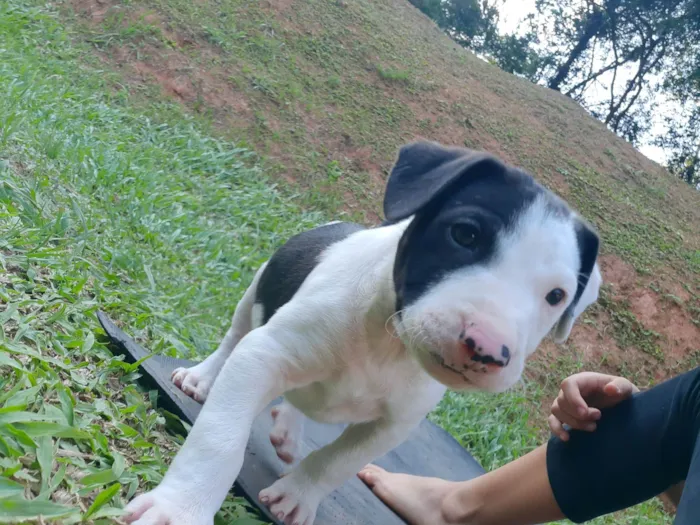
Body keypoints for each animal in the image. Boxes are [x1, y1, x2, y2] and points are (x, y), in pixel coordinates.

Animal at [124, 140, 600, 524]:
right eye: (465, 234)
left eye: (556, 296)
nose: (486, 348)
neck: (390, 342)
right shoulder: (263, 355)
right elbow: (219, 440)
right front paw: (179, 510)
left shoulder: (394, 424)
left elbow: (337, 461)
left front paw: (298, 495)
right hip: (256, 291)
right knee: (234, 337)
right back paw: (202, 377)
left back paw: (289, 430)